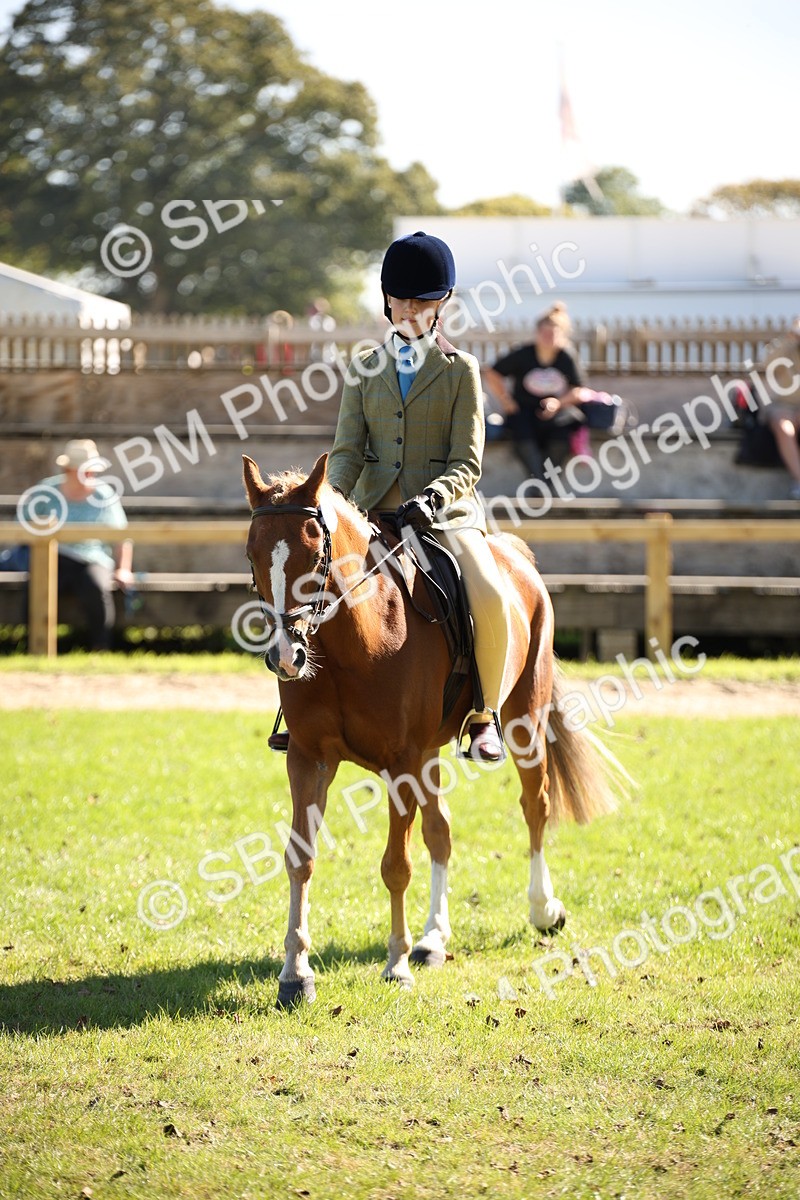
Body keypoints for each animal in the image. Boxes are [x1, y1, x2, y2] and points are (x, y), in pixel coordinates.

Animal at [243, 452, 619, 1007]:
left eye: (314, 554)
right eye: (252, 555)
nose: (286, 657)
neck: (353, 641)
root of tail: (514, 556)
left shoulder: (400, 763)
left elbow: (396, 864)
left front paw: (396, 965)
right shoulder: (309, 758)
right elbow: (300, 858)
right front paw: (295, 973)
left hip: (524, 722)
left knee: (536, 806)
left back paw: (543, 909)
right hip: (430, 755)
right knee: (441, 831)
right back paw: (433, 938)